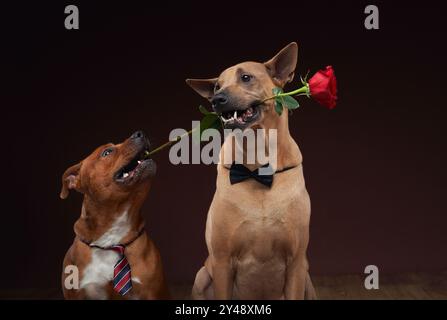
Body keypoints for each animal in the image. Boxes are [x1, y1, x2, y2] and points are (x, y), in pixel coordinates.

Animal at [187, 42, 316, 300]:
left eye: (246, 77)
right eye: (217, 86)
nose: (217, 99)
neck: (257, 168)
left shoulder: (297, 263)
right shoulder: (222, 262)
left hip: (307, 279)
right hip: (202, 276)